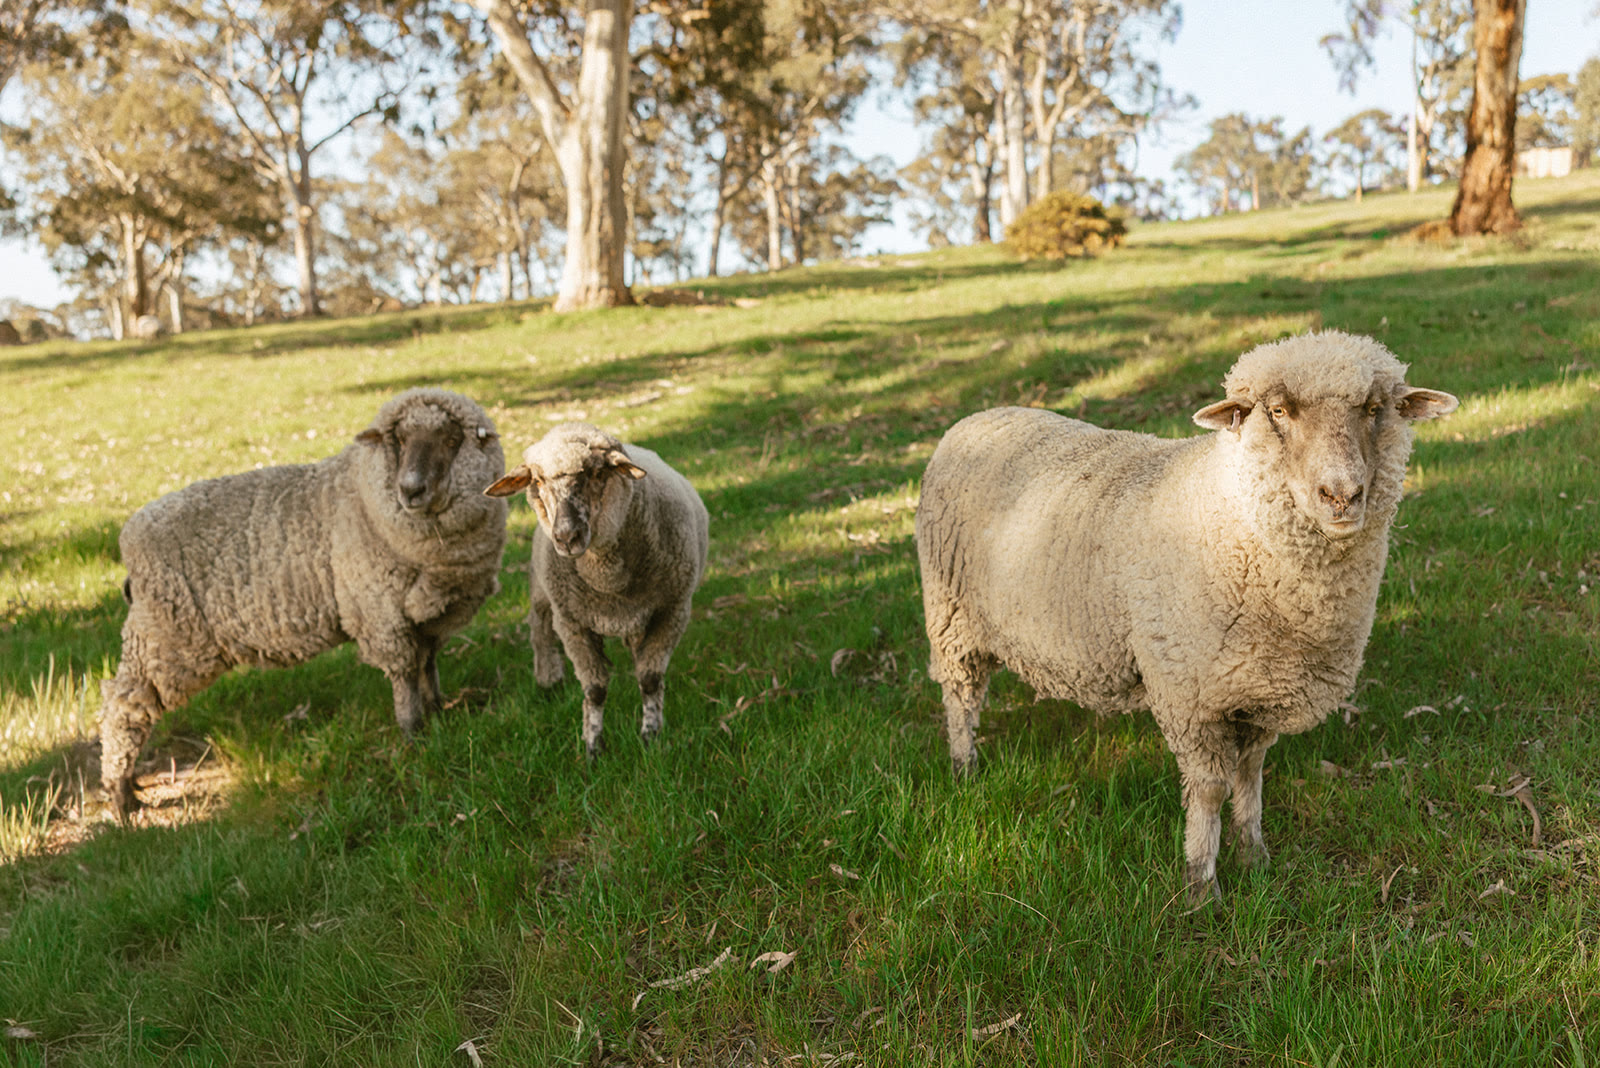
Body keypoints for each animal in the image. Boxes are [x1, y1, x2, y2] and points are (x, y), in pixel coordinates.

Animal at [99, 388, 508, 817]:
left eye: (451, 440)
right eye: (398, 440)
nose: (411, 490)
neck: (366, 500)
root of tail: (129, 540)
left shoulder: (429, 616)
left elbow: (428, 665)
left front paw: (438, 713)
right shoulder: (381, 614)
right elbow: (406, 674)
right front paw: (414, 733)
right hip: (166, 637)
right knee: (122, 708)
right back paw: (121, 796)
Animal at [485, 423, 708, 759]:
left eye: (597, 472)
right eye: (537, 481)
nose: (566, 537)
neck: (606, 578)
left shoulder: (672, 611)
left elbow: (650, 679)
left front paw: (650, 736)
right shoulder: (572, 624)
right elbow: (595, 689)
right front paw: (593, 748)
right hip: (542, 592)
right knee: (540, 628)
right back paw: (548, 680)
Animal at [915, 331, 1458, 903]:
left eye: (1375, 410)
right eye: (1278, 411)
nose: (1342, 495)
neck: (1229, 517)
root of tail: (977, 417)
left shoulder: (1256, 690)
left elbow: (1250, 775)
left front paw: (1254, 856)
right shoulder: (1190, 696)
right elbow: (1212, 789)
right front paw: (1202, 886)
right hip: (951, 614)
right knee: (961, 699)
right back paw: (965, 770)